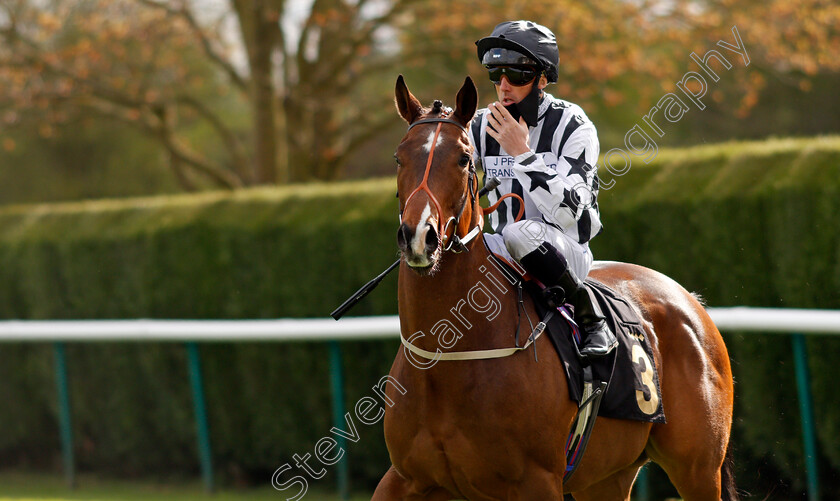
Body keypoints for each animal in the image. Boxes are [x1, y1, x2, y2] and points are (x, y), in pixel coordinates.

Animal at [372, 75, 736, 500]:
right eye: (399, 157)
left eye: (463, 159)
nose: (419, 237)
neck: (447, 359)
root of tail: (689, 301)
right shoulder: (406, 477)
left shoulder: (536, 480)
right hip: (607, 476)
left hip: (698, 469)